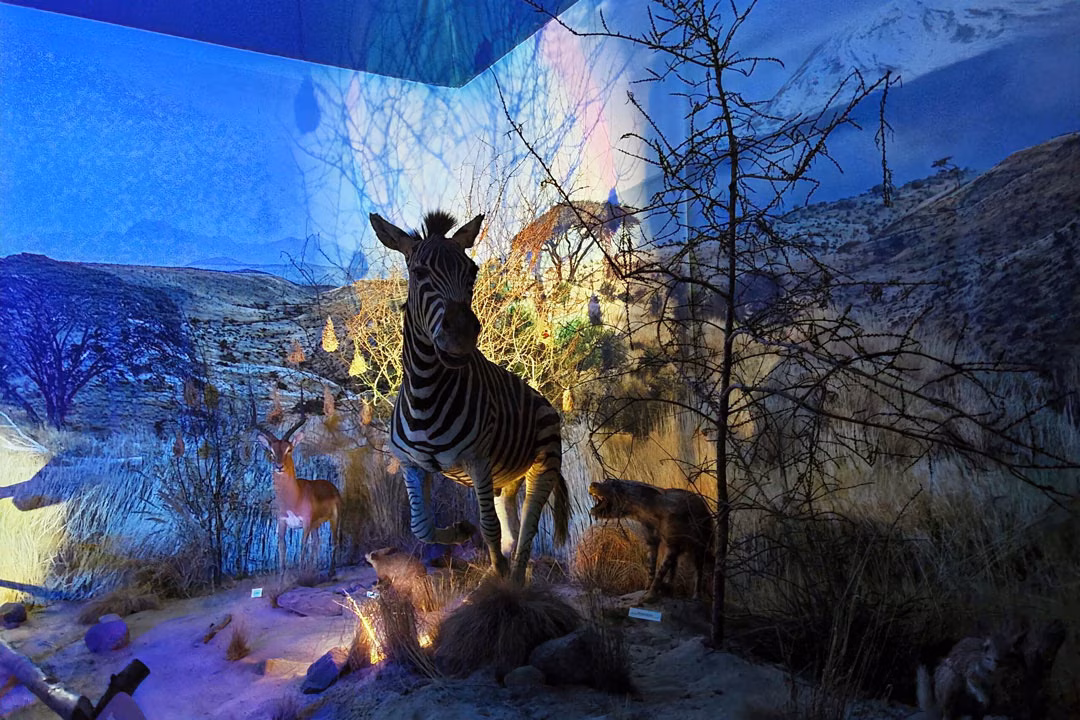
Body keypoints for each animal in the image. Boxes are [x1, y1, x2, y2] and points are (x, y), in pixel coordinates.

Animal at [369, 210, 570, 582]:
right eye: (419, 273)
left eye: (472, 271)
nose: (461, 335)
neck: (426, 392)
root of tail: (545, 401)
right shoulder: (412, 465)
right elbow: (421, 526)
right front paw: (462, 531)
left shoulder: (478, 461)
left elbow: (489, 527)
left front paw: (498, 577)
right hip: (507, 477)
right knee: (512, 526)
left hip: (543, 465)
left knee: (527, 527)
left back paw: (514, 582)